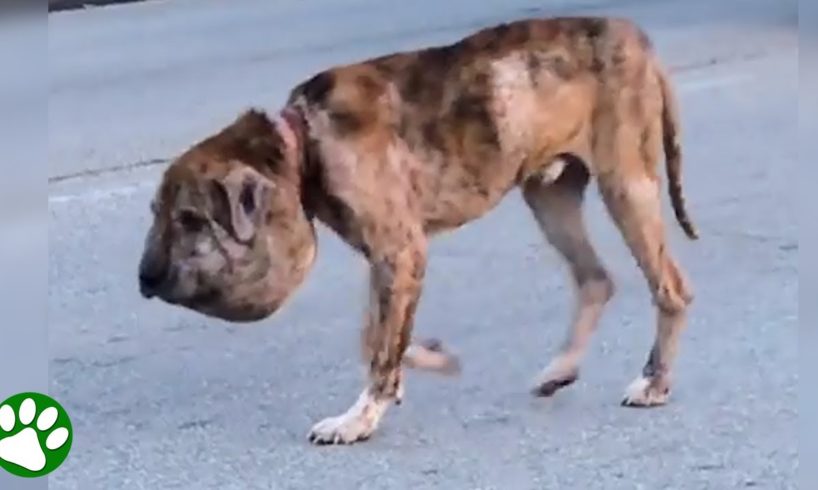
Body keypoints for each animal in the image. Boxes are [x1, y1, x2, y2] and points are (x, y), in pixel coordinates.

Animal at [139, 16, 696, 444]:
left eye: (190, 220)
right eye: (157, 213)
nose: (145, 279)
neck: (303, 141)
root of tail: (636, 36)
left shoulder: (399, 251)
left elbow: (380, 342)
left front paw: (360, 416)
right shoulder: (386, 260)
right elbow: (376, 334)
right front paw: (414, 366)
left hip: (627, 185)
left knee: (670, 288)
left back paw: (655, 382)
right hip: (550, 196)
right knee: (596, 280)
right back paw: (561, 369)